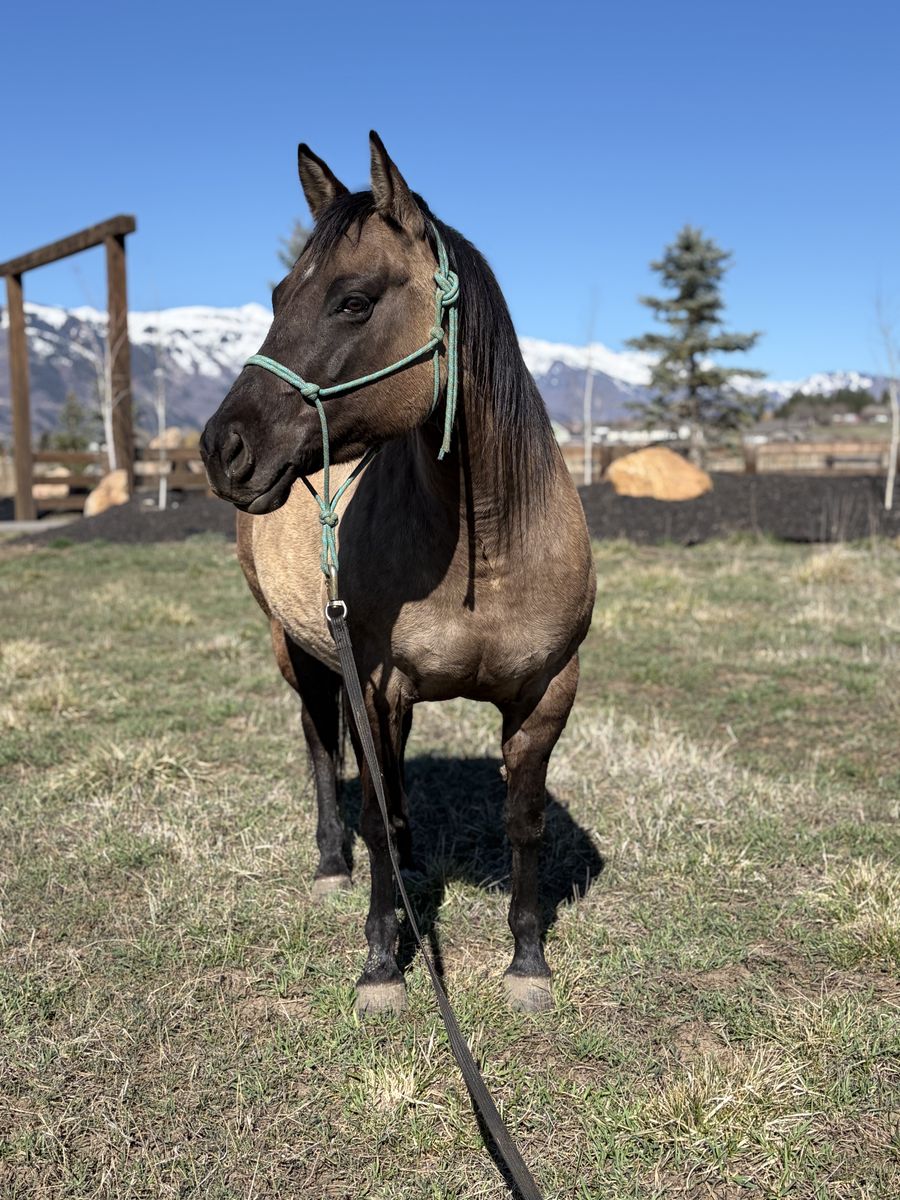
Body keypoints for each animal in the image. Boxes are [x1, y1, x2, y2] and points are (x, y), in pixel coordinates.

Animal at [200, 132, 596, 1015]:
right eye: (278, 293)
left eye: (353, 301)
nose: (221, 448)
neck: (485, 550)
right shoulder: (373, 685)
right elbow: (370, 813)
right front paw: (382, 966)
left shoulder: (545, 694)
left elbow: (523, 823)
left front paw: (527, 963)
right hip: (298, 649)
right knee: (321, 747)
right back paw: (332, 866)